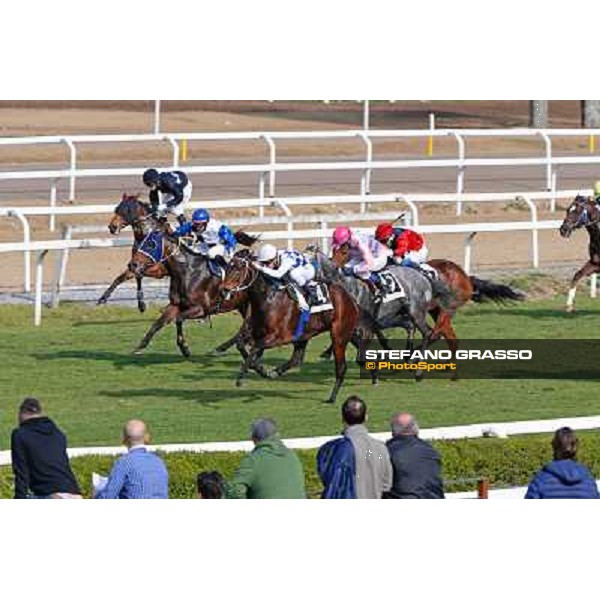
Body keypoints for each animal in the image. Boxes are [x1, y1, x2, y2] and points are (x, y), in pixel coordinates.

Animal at [221, 252, 358, 404]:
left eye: (238, 270)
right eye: (227, 268)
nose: (224, 290)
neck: (268, 299)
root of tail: (350, 299)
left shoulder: (278, 337)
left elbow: (255, 348)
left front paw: (242, 377)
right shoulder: (258, 332)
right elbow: (242, 345)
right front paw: (259, 368)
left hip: (339, 337)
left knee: (341, 367)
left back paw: (332, 397)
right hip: (304, 334)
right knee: (296, 359)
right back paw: (275, 372)